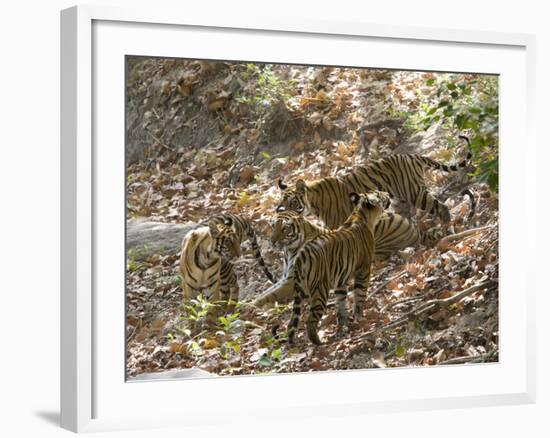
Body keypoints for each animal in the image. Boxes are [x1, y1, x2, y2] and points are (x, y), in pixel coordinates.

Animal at [278, 138, 472, 228]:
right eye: (282, 204)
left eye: (292, 203)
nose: (283, 213)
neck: (313, 203)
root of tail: (411, 155)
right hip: (400, 199)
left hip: (414, 192)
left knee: (441, 207)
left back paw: (446, 223)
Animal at [282, 190, 390, 344]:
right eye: (380, 194)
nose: (387, 193)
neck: (360, 213)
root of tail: (301, 255)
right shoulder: (363, 270)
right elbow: (359, 296)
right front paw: (359, 318)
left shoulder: (341, 280)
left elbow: (341, 302)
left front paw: (344, 322)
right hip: (320, 289)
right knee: (310, 320)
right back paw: (318, 342)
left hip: (300, 290)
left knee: (292, 322)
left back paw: (291, 343)